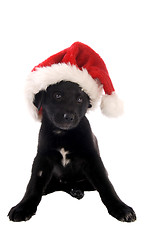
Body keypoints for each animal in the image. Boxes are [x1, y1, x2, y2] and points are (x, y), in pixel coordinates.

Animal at [8, 81, 136, 222]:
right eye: (57, 95)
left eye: (80, 99)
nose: (69, 117)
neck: (63, 134)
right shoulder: (42, 159)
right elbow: (33, 185)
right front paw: (23, 207)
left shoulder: (92, 159)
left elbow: (105, 185)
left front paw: (121, 208)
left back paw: (76, 190)